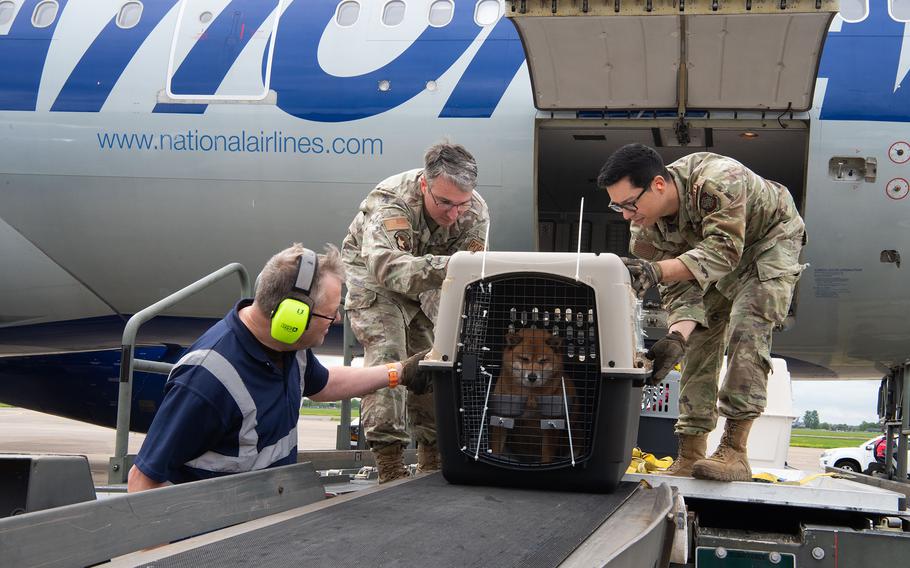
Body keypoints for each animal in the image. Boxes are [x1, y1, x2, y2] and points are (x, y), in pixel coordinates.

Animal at [492, 326, 576, 464]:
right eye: (524, 359)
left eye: (543, 361)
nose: (532, 377)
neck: (530, 397)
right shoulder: (501, 417)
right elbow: (495, 449)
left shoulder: (550, 423)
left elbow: (547, 455)